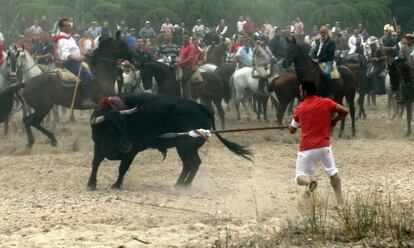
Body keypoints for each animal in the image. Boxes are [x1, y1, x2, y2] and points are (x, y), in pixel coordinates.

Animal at [0, 33, 140, 149]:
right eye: (124, 44)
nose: (137, 59)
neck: (101, 75)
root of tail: (26, 83)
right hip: (44, 107)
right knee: (31, 121)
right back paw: (44, 140)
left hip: (42, 108)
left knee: (29, 121)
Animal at [87, 93, 252, 190]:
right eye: (110, 129)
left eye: (123, 124)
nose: (127, 145)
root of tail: (202, 108)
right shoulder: (98, 147)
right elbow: (95, 164)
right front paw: (91, 184)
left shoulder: (132, 152)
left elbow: (122, 168)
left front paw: (116, 185)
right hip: (184, 148)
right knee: (189, 164)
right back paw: (180, 183)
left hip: (186, 147)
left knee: (193, 163)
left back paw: (184, 185)